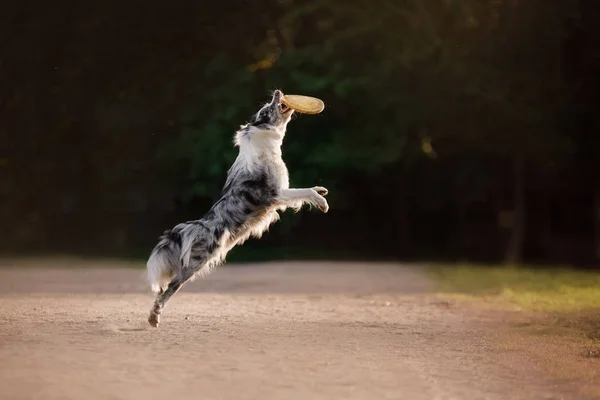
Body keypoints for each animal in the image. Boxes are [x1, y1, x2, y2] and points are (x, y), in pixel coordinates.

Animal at [148, 89, 330, 326]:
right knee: (169, 287)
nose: (277, 91)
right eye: (266, 109)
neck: (265, 143)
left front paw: (321, 190)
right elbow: (304, 192)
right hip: (197, 262)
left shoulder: (282, 193)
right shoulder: (278, 193)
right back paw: (154, 316)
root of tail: (196, 226)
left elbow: (306, 189)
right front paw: (321, 201)